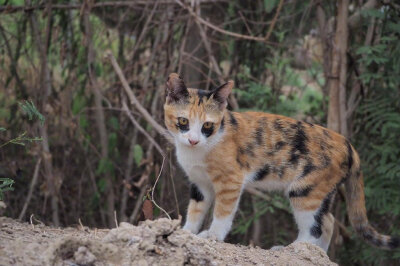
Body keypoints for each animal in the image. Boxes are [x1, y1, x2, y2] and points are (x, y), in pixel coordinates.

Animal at [162, 72, 400, 251]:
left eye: (207, 125)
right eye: (183, 121)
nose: (193, 140)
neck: (196, 152)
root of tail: (348, 144)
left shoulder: (230, 181)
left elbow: (223, 211)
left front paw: (212, 235)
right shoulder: (199, 183)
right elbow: (195, 210)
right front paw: (186, 233)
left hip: (305, 190)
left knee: (314, 227)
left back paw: (293, 249)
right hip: (322, 192)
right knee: (329, 221)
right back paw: (317, 253)